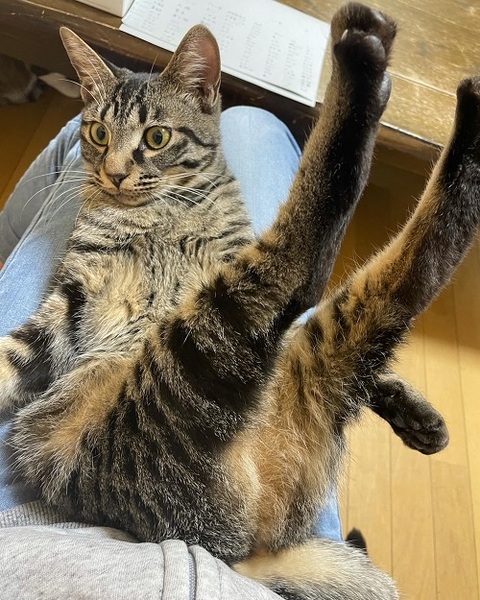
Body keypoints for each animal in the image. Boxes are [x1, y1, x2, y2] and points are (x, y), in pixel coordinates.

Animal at [0, 2, 477, 598]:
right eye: (98, 132)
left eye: (156, 137)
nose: (113, 173)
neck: (156, 215)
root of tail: (240, 547)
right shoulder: (76, 292)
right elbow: (17, 352)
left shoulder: (219, 258)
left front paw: (404, 402)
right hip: (205, 346)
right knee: (336, 262)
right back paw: (376, 70)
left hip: (232, 334)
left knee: (348, 279)